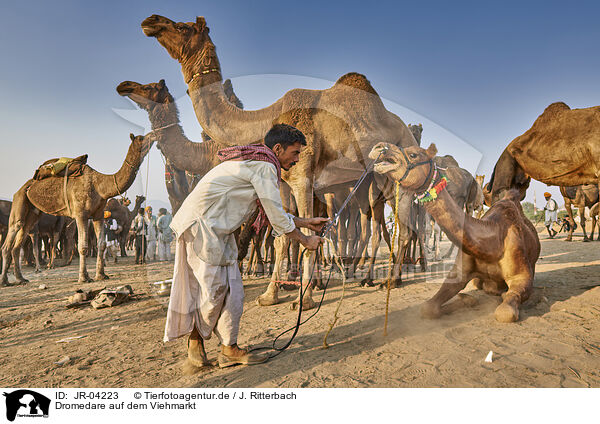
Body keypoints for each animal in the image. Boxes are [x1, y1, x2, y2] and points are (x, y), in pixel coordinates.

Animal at [2, 133, 152, 284]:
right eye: (140, 138)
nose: (153, 135)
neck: (100, 185)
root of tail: (24, 187)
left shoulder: (98, 215)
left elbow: (102, 244)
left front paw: (101, 275)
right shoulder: (81, 215)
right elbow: (82, 246)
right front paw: (84, 277)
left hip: (32, 213)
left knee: (20, 239)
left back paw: (20, 278)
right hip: (20, 199)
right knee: (13, 232)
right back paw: (5, 281)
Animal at [143, 14, 420, 310]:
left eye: (182, 27)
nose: (151, 21)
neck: (269, 119)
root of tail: (405, 130)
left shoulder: (303, 180)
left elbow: (308, 236)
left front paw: (304, 300)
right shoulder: (284, 184)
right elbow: (283, 236)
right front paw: (269, 295)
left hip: (398, 171)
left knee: (403, 228)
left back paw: (389, 280)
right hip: (374, 178)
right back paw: (385, 277)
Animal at [368, 142, 540, 322]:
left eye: (414, 154)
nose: (380, 147)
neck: (492, 241)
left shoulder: (522, 277)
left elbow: (505, 312)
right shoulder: (459, 271)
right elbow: (427, 308)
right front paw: (467, 299)